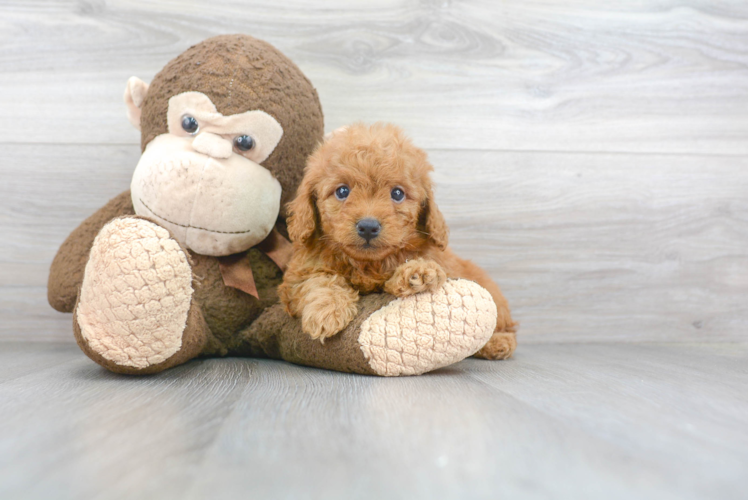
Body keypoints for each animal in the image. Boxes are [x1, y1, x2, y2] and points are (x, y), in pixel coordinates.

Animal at [278, 124, 516, 360]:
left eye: (398, 194)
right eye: (342, 191)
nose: (368, 226)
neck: (367, 264)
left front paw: (419, 273)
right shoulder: (298, 275)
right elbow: (317, 280)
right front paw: (326, 310)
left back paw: (497, 343)